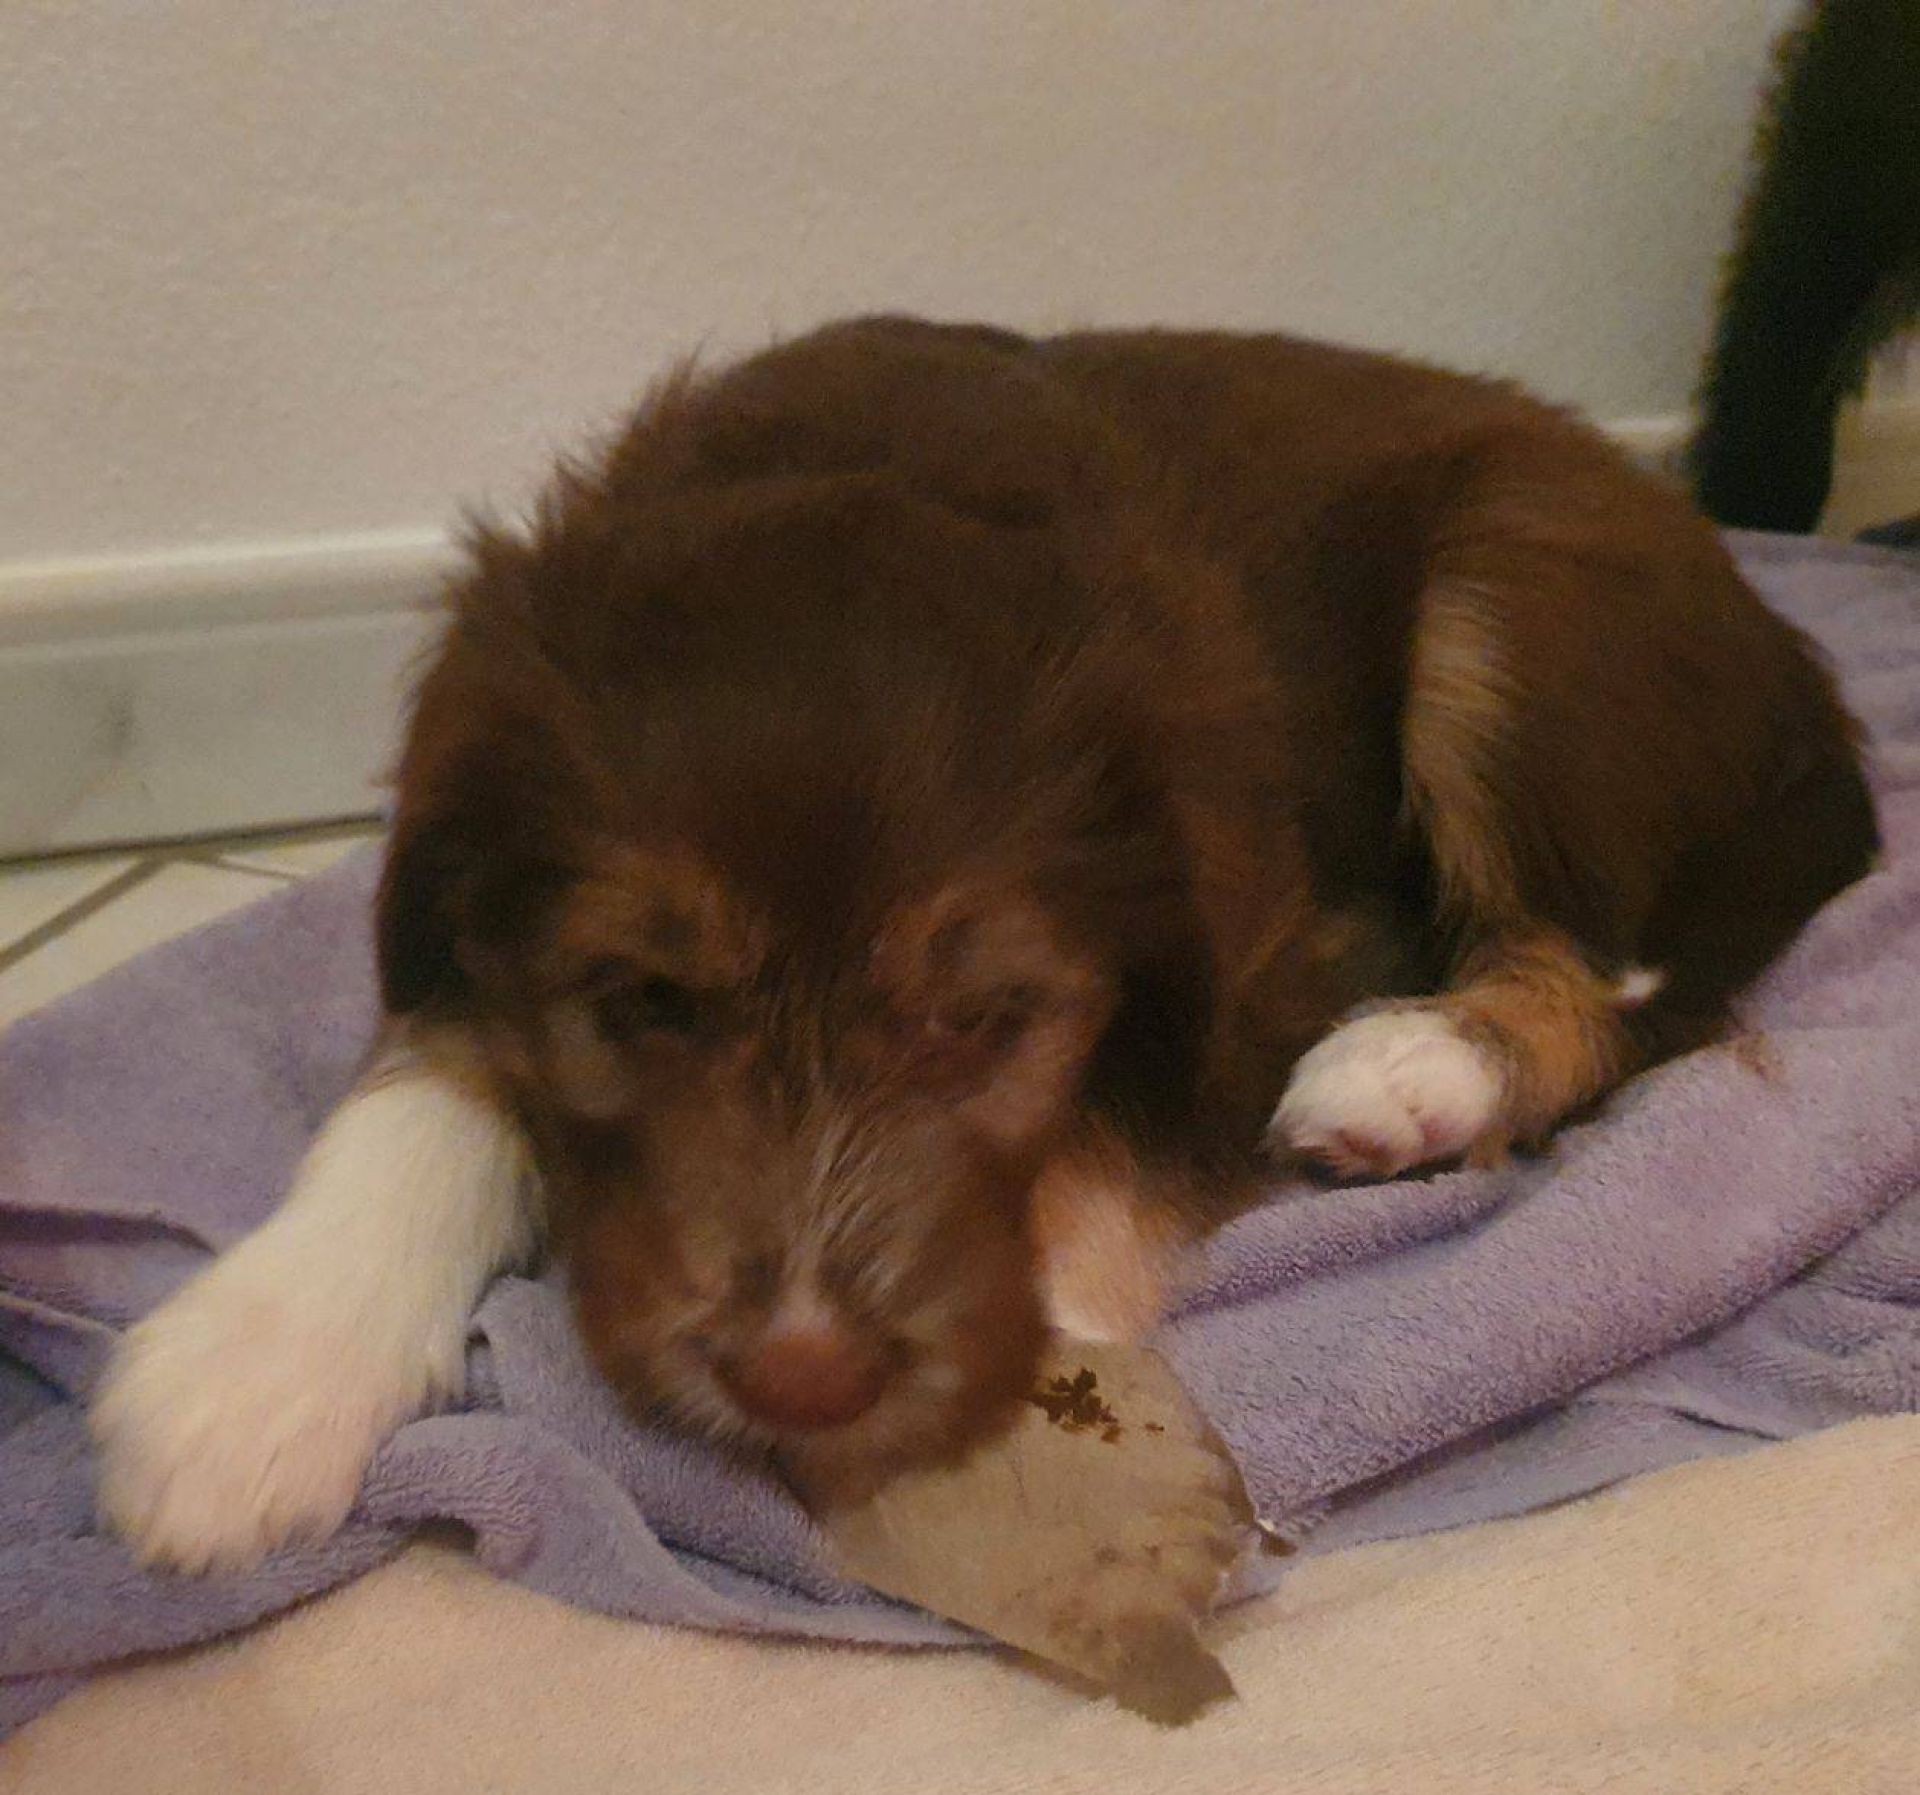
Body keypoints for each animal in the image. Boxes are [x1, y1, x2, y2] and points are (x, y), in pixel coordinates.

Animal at [91, 317, 1878, 1570]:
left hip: (1512, 589)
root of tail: (1798, 662)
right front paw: (254, 1375)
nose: (805, 1377)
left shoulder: (1271, 945)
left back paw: (1414, 1070)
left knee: (1613, 971)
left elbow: (1120, 1136)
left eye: (989, 1019)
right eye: (642, 1000)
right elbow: (436, 1075)